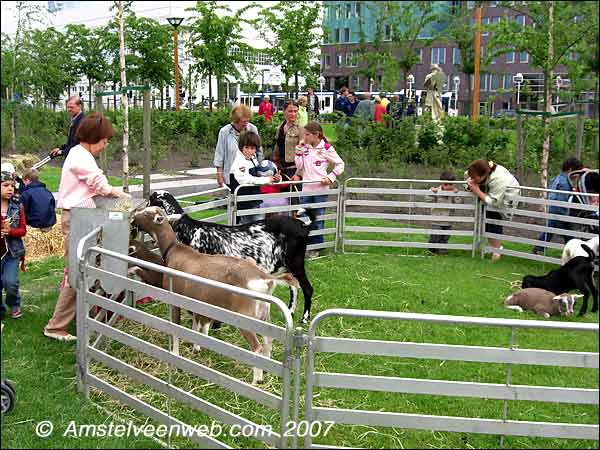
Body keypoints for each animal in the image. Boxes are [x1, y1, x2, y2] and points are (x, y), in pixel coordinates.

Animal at [132, 206, 298, 384]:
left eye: (147, 213)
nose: (134, 216)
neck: (173, 250)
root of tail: (265, 279)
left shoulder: (175, 298)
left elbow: (176, 328)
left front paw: (176, 355)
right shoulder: (194, 300)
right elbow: (196, 323)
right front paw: (195, 347)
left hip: (245, 316)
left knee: (256, 347)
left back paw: (256, 381)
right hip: (263, 314)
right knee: (268, 339)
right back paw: (266, 371)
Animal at [149, 190, 318, 324]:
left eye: (151, 200)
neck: (189, 230)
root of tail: (304, 226)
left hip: (295, 262)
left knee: (307, 288)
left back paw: (304, 318)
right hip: (284, 265)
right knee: (293, 286)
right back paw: (290, 312)